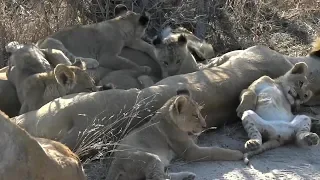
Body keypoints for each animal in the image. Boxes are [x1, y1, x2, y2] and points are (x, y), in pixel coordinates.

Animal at [107, 89, 242, 180]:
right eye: (195, 115)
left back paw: (188, 175)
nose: (205, 125)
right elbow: (214, 150)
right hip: (150, 157)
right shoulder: (190, 152)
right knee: (157, 178)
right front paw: (237, 153)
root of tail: (115, 164)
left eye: (200, 112)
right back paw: (186, 175)